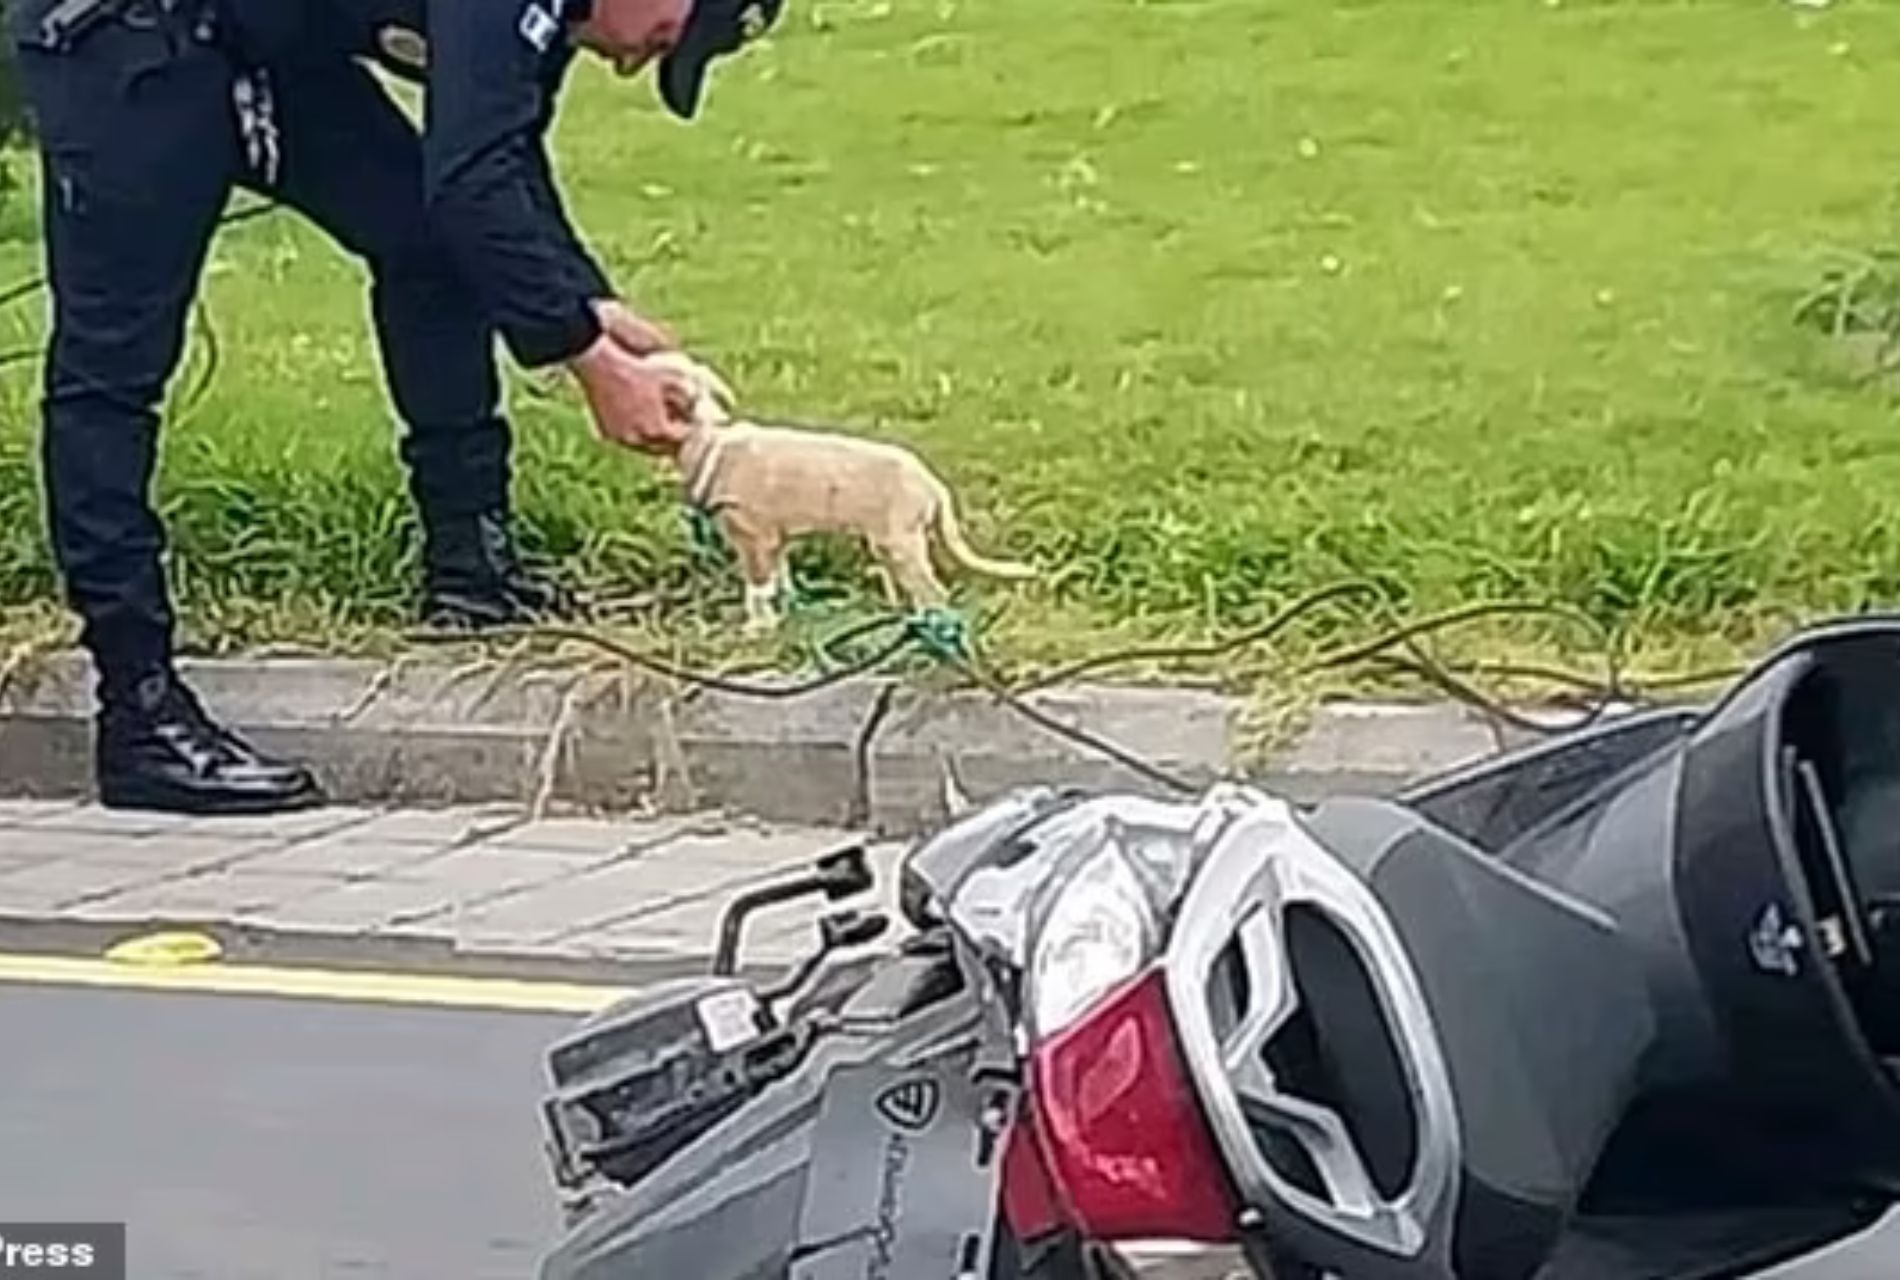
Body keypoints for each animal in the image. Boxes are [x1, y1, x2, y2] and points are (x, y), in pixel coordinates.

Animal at [649, 349, 1041, 634]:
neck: (712, 437)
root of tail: (933, 484)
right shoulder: (776, 541)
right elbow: (780, 581)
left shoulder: (754, 540)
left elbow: (758, 590)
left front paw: (758, 628)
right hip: (891, 546)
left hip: (899, 543)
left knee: (935, 592)